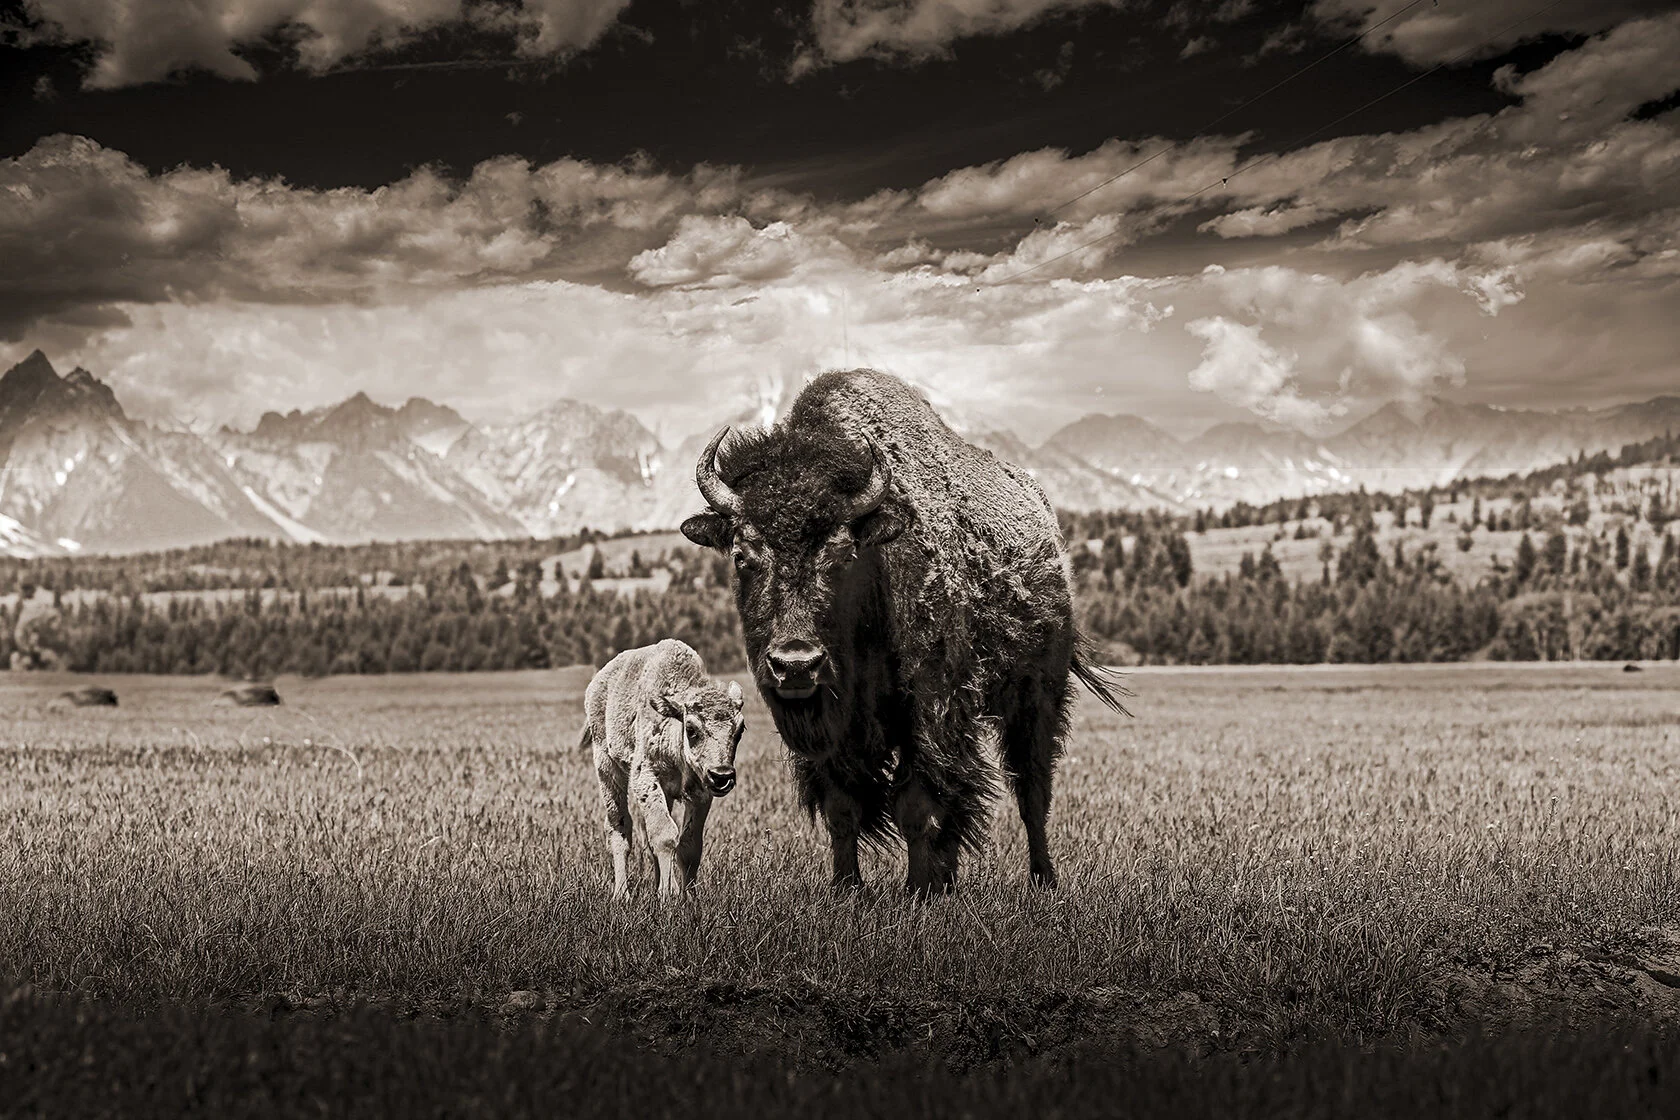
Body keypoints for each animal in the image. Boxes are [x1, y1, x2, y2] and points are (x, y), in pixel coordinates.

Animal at [681, 368, 1128, 894]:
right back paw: (950, 879)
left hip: (1037, 692)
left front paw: (917, 891)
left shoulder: (930, 708)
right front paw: (848, 888)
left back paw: (1042, 879)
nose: (796, 665)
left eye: (844, 554)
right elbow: (843, 809)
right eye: (742, 555)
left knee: (1031, 787)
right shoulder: (833, 739)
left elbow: (917, 804)